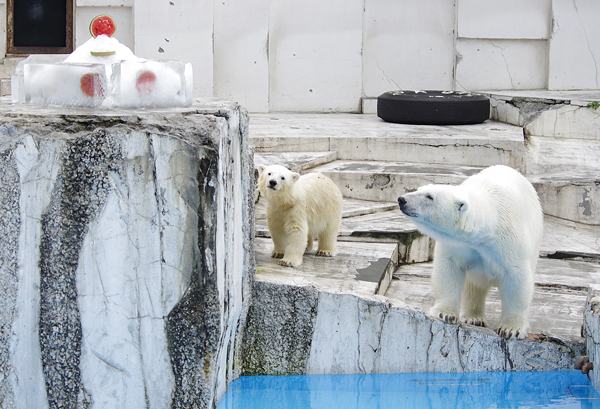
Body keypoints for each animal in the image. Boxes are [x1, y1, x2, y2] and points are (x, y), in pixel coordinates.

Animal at [398, 164, 544, 340]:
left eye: (429, 196)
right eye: (419, 189)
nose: (402, 199)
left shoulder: (509, 242)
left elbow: (516, 277)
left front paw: (511, 329)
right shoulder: (459, 245)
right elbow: (448, 269)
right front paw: (445, 314)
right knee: (475, 285)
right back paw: (474, 317)